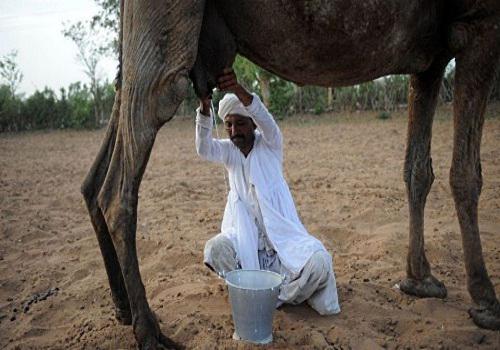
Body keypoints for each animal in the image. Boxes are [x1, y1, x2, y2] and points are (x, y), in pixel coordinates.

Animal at [81, 1, 500, 348]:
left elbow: (417, 169)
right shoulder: (480, 20)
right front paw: (485, 300)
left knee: (95, 178)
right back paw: (150, 332)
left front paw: (420, 281)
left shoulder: (429, 60)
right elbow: (466, 173)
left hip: (133, 45)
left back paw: (124, 309)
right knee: (119, 184)